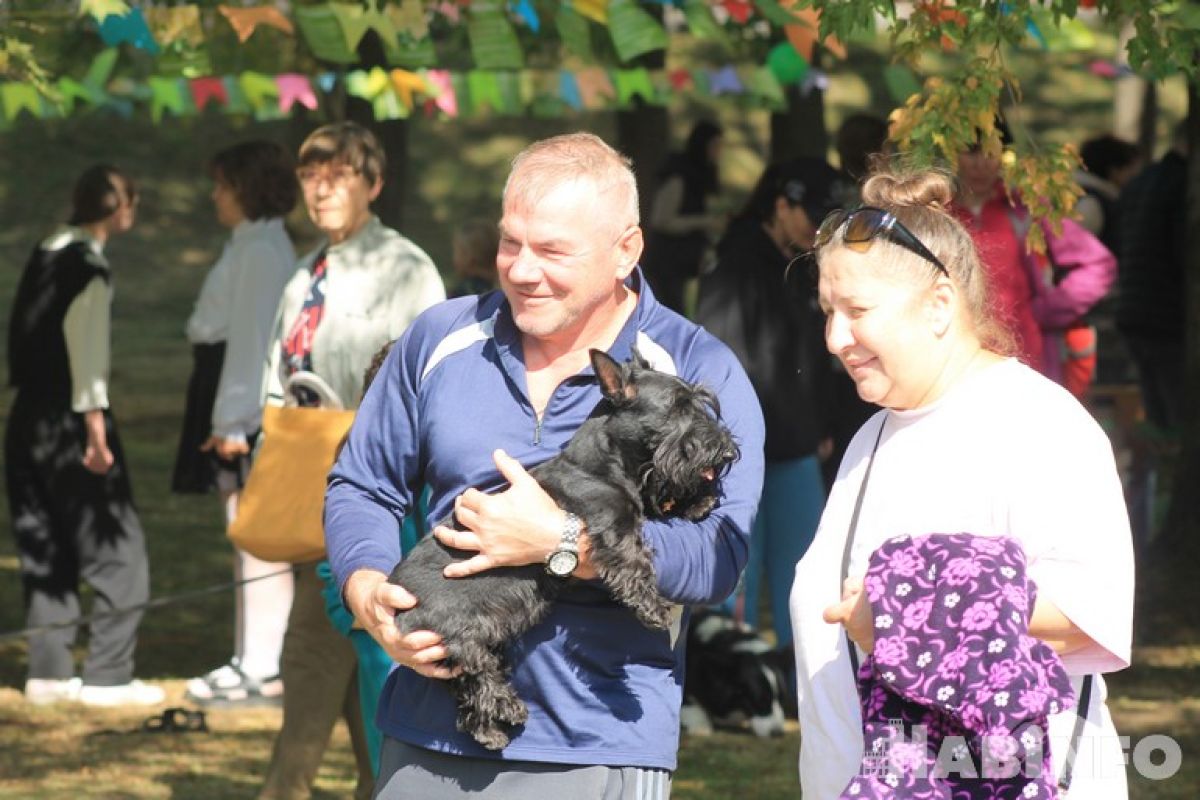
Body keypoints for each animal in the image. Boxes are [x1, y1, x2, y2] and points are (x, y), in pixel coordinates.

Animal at [388, 350, 734, 753]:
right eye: (679, 406)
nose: (727, 450)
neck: (601, 465)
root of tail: (395, 597)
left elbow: (655, 503)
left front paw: (697, 502)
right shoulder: (613, 528)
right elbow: (634, 562)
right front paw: (655, 611)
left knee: (466, 687)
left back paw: (491, 730)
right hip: (462, 631)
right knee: (478, 673)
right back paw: (508, 708)